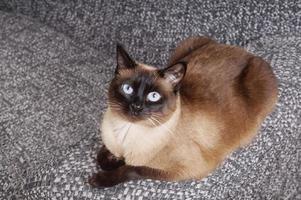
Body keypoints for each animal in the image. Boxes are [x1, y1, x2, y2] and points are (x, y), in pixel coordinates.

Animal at [88, 36, 276, 188]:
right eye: (127, 89)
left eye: (153, 96)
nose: (136, 106)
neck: (125, 134)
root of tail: (243, 51)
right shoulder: (110, 143)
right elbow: (102, 156)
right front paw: (114, 160)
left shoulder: (187, 169)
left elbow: (132, 168)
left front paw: (100, 179)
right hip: (186, 45)